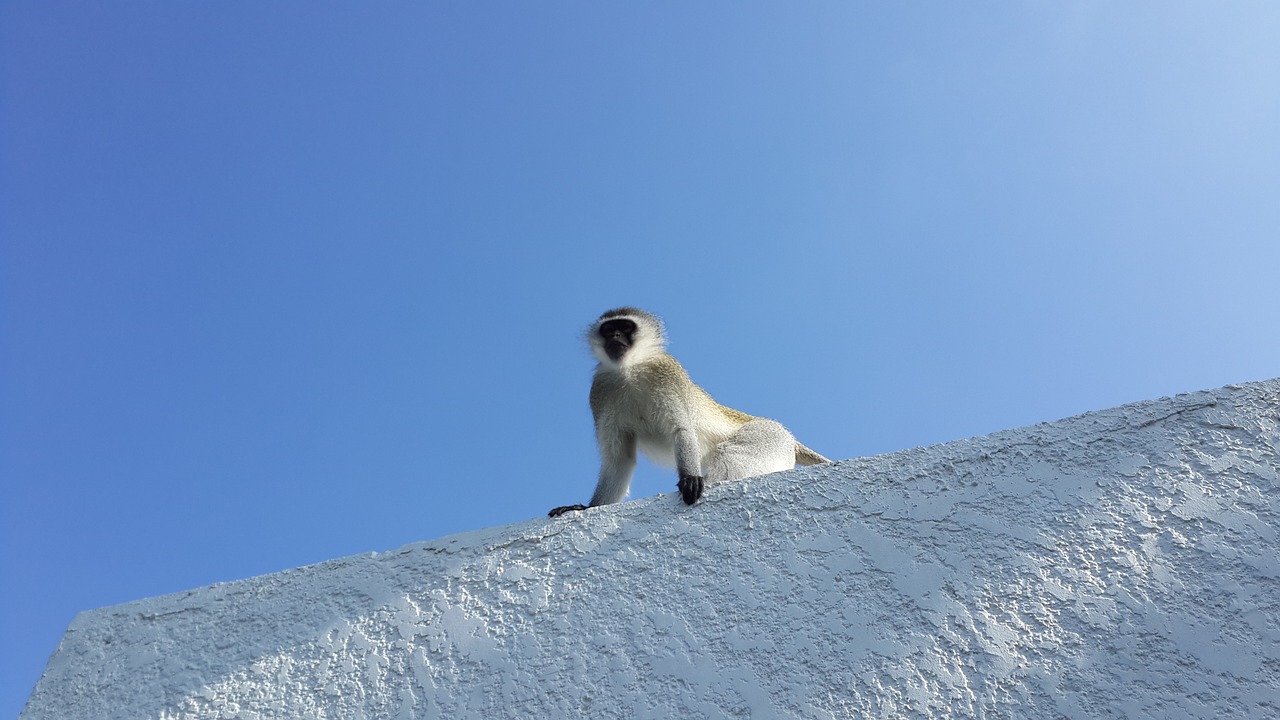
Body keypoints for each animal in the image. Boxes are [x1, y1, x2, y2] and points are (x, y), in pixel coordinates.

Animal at [547, 303, 829, 515]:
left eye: (625, 328)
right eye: (608, 330)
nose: (615, 337)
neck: (630, 369)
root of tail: (788, 436)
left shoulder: (666, 374)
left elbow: (681, 429)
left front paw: (690, 479)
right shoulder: (601, 391)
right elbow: (619, 458)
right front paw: (586, 507)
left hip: (768, 437)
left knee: (730, 454)